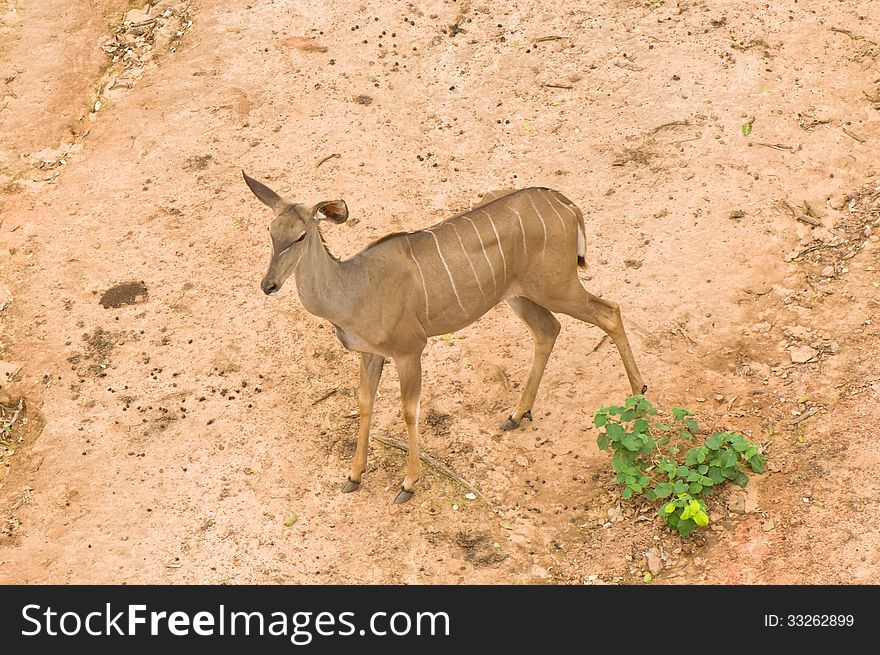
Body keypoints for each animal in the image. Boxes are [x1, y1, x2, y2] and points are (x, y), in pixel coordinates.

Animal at [242, 172, 648, 504]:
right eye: (269, 233)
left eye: (300, 235)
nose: (269, 285)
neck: (354, 289)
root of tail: (565, 204)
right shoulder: (370, 354)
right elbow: (364, 404)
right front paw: (354, 476)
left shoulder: (409, 350)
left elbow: (409, 410)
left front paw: (408, 485)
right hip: (520, 295)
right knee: (548, 330)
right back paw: (517, 414)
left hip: (557, 287)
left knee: (610, 312)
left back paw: (638, 396)